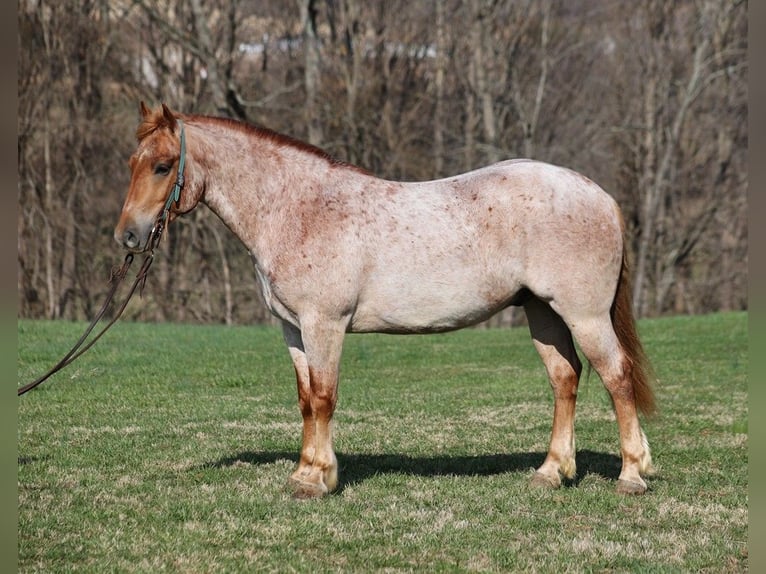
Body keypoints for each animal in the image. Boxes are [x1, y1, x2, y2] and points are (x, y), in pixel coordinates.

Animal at [117, 103, 656, 500]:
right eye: (132, 164)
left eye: (163, 166)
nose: (128, 236)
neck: (296, 207)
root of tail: (598, 195)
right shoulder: (293, 328)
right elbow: (305, 401)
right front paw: (303, 474)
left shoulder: (324, 324)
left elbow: (324, 397)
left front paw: (318, 478)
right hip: (543, 312)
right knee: (565, 379)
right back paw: (551, 472)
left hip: (584, 315)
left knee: (616, 376)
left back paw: (632, 475)